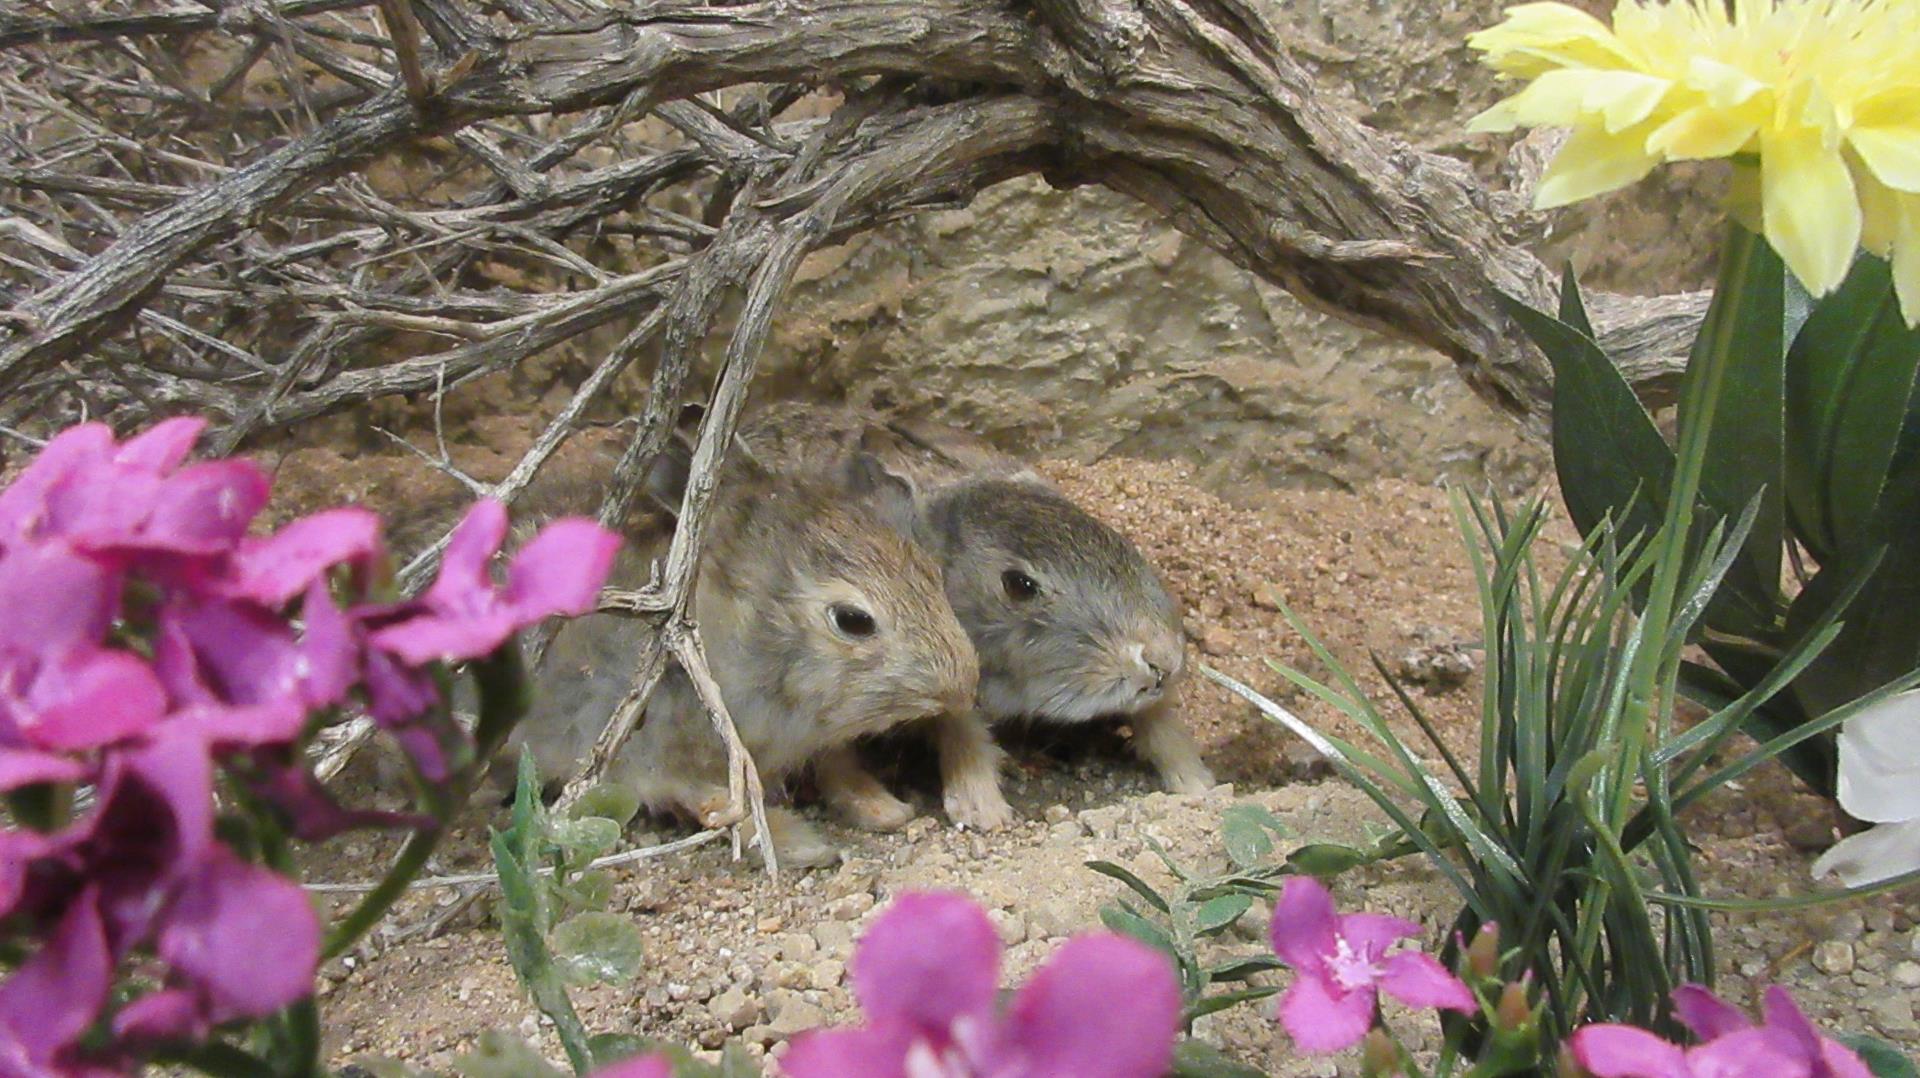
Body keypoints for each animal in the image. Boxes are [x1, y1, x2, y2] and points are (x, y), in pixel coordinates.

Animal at [426, 425, 982, 868]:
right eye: (853, 621)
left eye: (932, 575)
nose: (962, 683)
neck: (738, 634)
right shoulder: (642, 741)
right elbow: (717, 800)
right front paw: (799, 842)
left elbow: (834, 765)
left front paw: (883, 808)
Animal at [732, 401, 1217, 807]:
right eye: (1019, 585)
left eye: (1116, 540)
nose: (1162, 662)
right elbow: (965, 737)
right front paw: (983, 811)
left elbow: (1159, 723)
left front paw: (1197, 784)